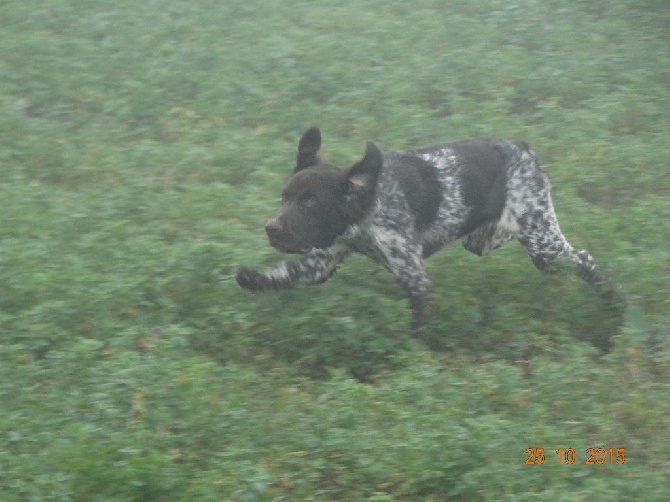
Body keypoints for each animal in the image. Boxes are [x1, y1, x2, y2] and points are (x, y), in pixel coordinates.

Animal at [235, 125, 620, 340]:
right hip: (495, 241)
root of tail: (523, 149)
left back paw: (616, 310)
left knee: (586, 262)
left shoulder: (413, 276)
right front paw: (249, 277)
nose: (271, 228)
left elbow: (417, 329)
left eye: (310, 203)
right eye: (284, 198)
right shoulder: (323, 261)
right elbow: (282, 275)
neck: (367, 205)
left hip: (543, 244)